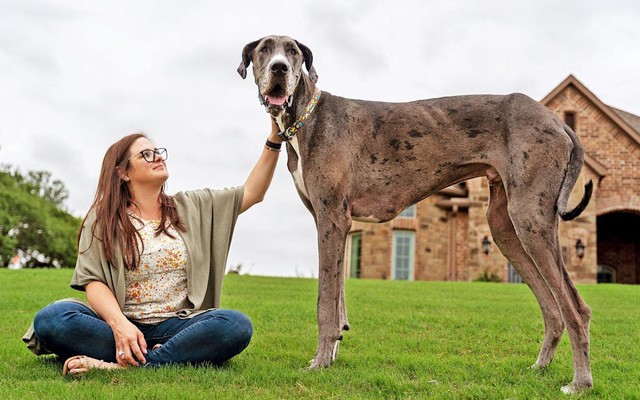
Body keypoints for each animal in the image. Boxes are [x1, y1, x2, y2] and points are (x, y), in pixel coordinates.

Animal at [239, 35, 596, 394]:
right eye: (264, 50)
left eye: (293, 51)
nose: (280, 69)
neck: (306, 117)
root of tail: (559, 121)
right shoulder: (335, 225)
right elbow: (338, 300)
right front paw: (332, 354)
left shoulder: (332, 220)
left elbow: (325, 303)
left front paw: (320, 363)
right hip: (504, 227)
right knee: (552, 308)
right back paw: (540, 367)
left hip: (529, 219)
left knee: (575, 308)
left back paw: (579, 383)